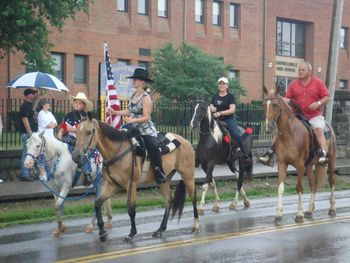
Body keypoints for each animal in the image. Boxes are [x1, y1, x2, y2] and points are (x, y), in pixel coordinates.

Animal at [71, 116, 200, 244]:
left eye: (88, 132)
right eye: (76, 132)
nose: (76, 156)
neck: (117, 151)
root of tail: (186, 142)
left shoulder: (131, 185)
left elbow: (132, 210)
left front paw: (131, 234)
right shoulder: (112, 185)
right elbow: (97, 203)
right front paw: (102, 233)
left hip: (187, 176)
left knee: (193, 198)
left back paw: (196, 226)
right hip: (164, 180)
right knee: (168, 201)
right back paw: (160, 229)